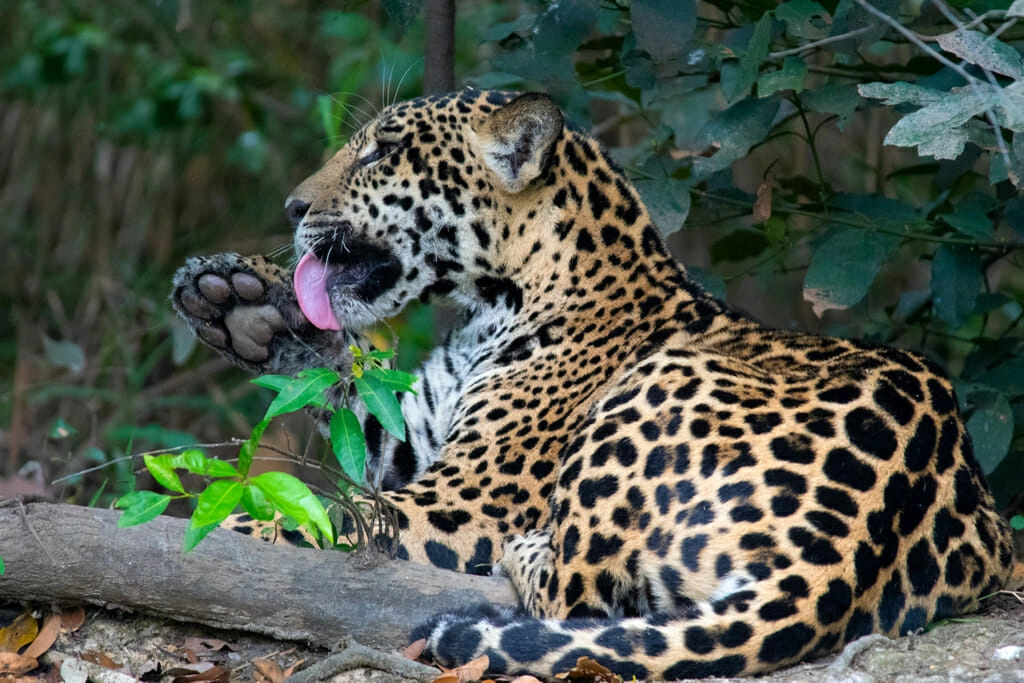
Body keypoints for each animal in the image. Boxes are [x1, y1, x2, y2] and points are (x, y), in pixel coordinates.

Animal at [172, 88, 1014, 680]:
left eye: (384, 150)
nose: (293, 206)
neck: (490, 304)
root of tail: (843, 551)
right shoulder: (414, 439)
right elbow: (352, 407)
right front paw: (241, 304)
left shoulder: (463, 501)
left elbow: (326, 515)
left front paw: (219, 526)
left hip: (653, 390)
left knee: (578, 591)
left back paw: (526, 550)